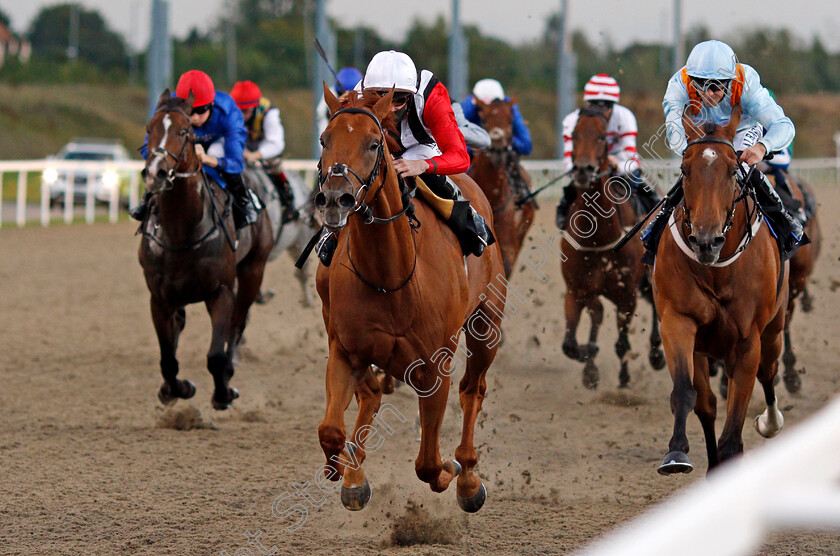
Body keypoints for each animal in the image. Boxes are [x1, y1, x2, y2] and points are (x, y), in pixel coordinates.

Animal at [139, 91, 274, 410]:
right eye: (150, 129)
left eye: (184, 131)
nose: (155, 173)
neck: (181, 230)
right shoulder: (159, 298)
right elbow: (168, 359)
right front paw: (176, 389)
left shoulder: (220, 291)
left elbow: (215, 355)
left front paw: (224, 392)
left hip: (253, 270)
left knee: (238, 324)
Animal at [312, 84, 502, 516]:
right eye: (325, 139)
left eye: (373, 143)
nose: (334, 199)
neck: (392, 276)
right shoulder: (345, 348)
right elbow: (330, 429)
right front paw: (342, 471)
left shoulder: (434, 366)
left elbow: (428, 463)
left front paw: (452, 472)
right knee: (369, 394)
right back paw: (353, 475)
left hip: (487, 324)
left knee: (473, 389)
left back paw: (467, 476)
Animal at [656, 106, 788, 476]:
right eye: (684, 170)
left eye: (733, 171)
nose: (706, 241)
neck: (716, 271)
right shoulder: (678, 321)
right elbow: (685, 392)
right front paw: (676, 452)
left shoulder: (747, 341)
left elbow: (734, 431)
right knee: (707, 403)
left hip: (774, 330)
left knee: (769, 373)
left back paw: (771, 422)